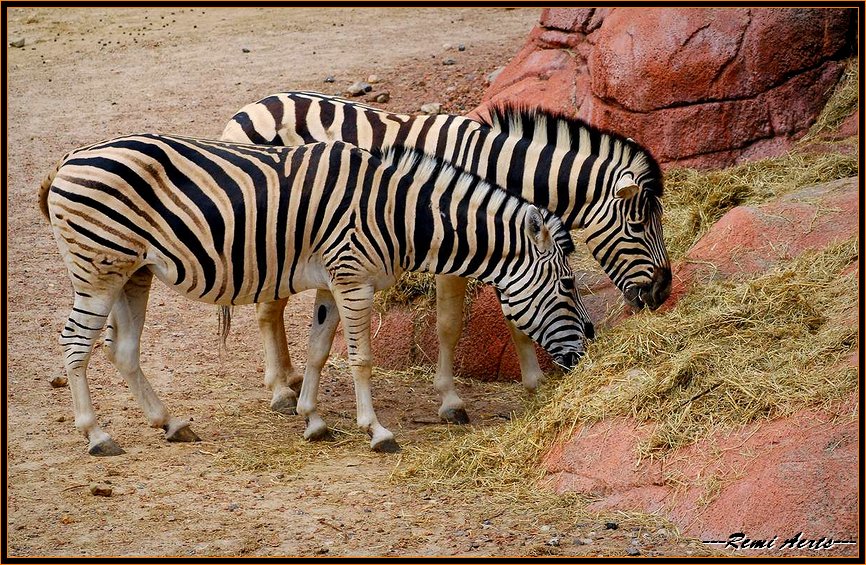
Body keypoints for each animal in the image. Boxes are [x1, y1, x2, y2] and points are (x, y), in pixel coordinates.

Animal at [44, 133, 592, 454]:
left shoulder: (333, 282)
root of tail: (69, 158)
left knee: (123, 350)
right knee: (74, 346)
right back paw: (96, 434)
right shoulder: (353, 279)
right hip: (98, 272)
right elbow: (360, 359)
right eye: (568, 285)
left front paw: (311, 418)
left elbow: (318, 351)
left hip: (131, 272)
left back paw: (171, 423)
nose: (587, 350)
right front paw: (376, 430)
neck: (400, 212)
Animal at [221, 89, 668, 424]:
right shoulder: (456, 248)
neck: (494, 171)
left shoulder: (510, 244)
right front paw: (451, 400)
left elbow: (518, 319)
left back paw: (291, 378)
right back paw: (280, 389)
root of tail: (254, 105)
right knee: (267, 308)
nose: (663, 292)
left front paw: (534, 383)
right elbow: (450, 325)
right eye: (638, 226)